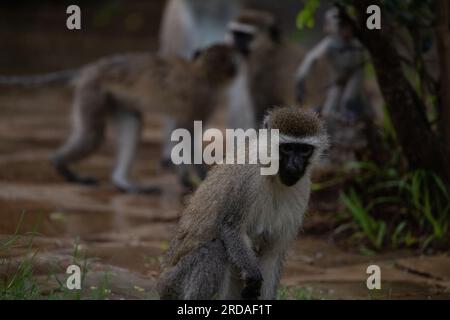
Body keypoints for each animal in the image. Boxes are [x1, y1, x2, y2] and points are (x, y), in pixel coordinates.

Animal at [50, 44, 239, 194]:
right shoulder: (204, 97)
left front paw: (186, 178)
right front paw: (200, 177)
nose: (236, 68)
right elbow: (186, 131)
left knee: (132, 125)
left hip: (115, 99)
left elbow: (180, 131)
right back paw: (59, 163)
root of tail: (93, 68)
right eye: (231, 62)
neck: (203, 70)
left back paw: (122, 182)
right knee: (92, 136)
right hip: (91, 91)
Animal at [157, 107, 326, 300]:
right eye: (287, 148)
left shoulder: (303, 188)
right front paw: (253, 275)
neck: (272, 172)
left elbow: (273, 252)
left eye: (304, 150)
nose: (295, 165)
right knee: (213, 250)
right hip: (173, 285)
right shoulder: (247, 179)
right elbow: (232, 228)